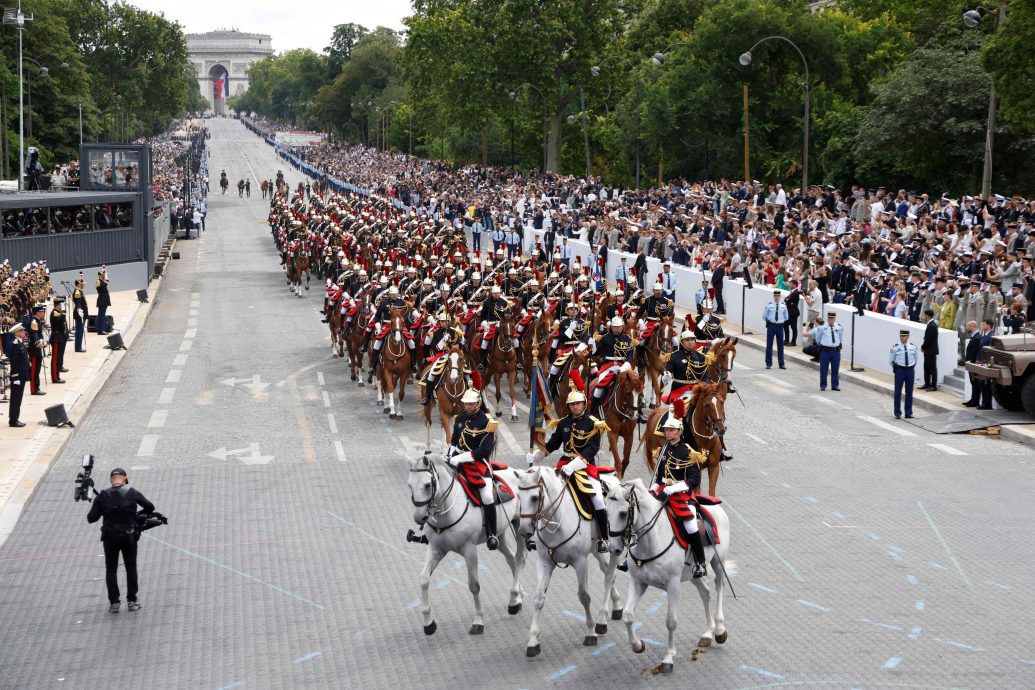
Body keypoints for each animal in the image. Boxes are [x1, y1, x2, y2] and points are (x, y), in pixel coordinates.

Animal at [405, 453, 525, 637]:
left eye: (427, 485)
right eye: (410, 485)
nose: (419, 517)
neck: (446, 512)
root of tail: (517, 472)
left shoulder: (470, 551)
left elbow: (474, 585)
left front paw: (478, 621)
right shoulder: (436, 549)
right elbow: (424, 579)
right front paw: (428, 623)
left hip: (520, 527)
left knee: (519, 558)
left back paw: (513, 600)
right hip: (500, 534)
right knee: (511, 559)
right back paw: (517, 598)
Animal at [515, 467, 621, 657]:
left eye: (534, 497)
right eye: (518, 497)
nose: (524, 531)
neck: (557, 521)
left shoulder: (580, 562)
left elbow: (584, 596)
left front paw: (590, 632)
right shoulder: (544, 562)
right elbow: (539, 598)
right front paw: (533, 641)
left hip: (614, 547)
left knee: (609, 576)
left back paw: (602, 619)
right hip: (596, 549)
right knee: (607, 571)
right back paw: (616, 606)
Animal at [604, 479, 732, 674]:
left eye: (623, 513)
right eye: (605, 511)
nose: (614, 549)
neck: (651, 539)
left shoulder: (673, 585)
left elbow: (671, 621)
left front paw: (668, 658)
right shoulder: (638, 582)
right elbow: (627, 615)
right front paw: (637, 645)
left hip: (719, 562)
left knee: (719, 586)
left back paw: (719, 629)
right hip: (693, 573)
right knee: (705, 592)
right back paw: (708, 634)